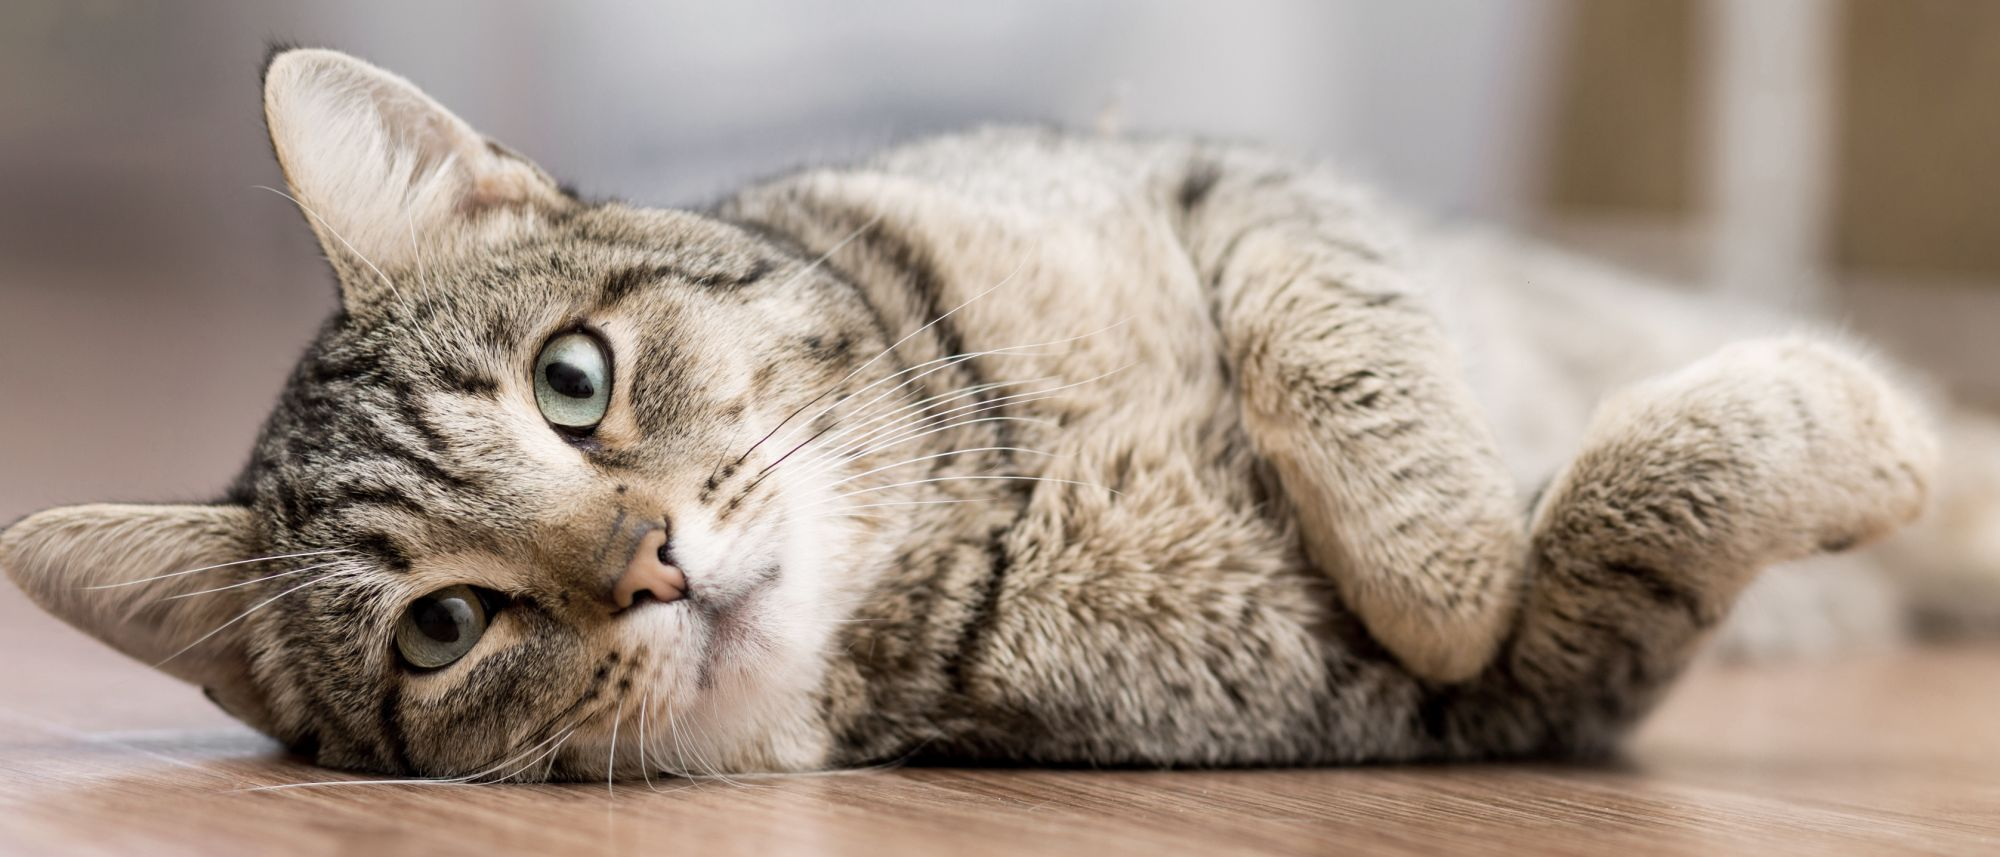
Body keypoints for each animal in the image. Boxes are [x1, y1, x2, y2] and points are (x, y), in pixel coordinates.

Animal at [0, 46, 1984, 780]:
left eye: (575, 380)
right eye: (442, 629)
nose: (650, 562)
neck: (993, 484)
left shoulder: (1232, 182)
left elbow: (1344, 362)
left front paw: (1442, 543)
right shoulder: (1501, 701)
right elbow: (1611, 523)